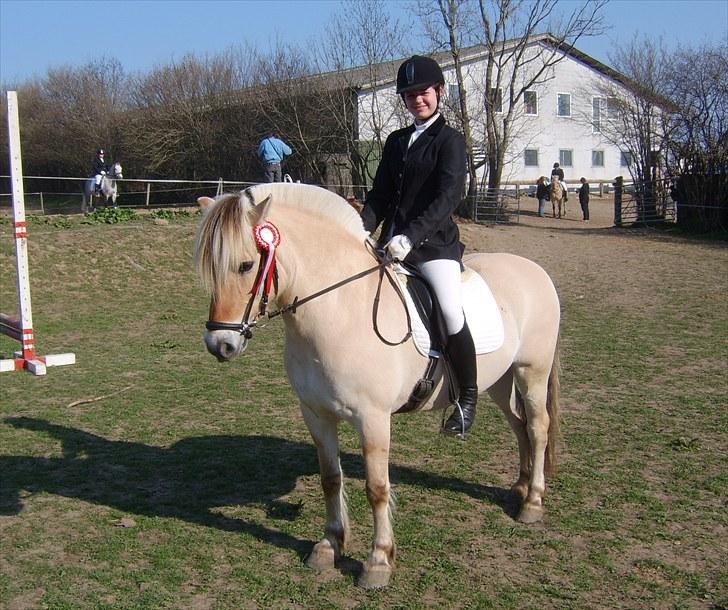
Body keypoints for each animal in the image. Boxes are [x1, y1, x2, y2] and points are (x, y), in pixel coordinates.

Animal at [193, 183, 561, 588]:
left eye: (246, 265)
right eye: (208, 268)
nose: (220, 345)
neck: (339, 311)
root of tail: (534, 269)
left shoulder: (373, 419)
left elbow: (377, 488)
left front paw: (378, 560)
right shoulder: (316, 414)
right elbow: (330, 478)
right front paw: (329, 545)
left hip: (532, 371)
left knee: (538, 428)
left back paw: (533, 502)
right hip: (500, 380)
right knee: (519, 426)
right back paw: (520, 488)